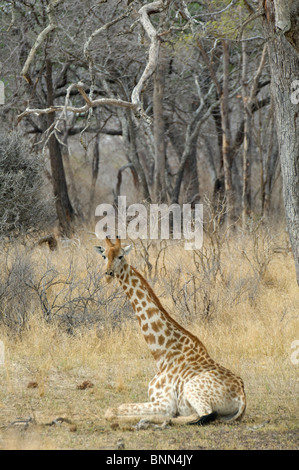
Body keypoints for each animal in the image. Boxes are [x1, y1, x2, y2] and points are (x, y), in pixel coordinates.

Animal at [95, 237, 246, 424]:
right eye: (104, 256)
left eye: (120, 256)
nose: (108, 274)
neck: (162, 354)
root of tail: (242, 398)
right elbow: (119, 407)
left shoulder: (165, 402)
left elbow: (114, 410)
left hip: (192, 390)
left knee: (202, 415)